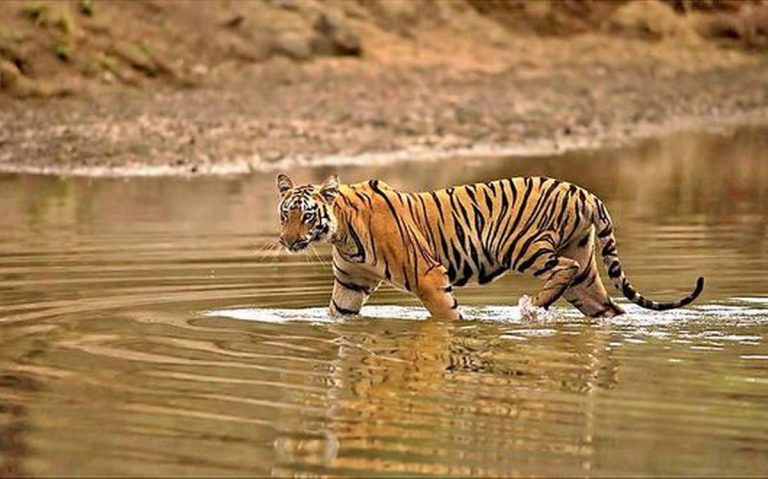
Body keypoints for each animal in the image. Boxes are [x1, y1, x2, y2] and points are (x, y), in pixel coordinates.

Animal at [276, 174, 704, 320]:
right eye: (285, 215)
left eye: (307, 216)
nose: (288, 241)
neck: (341, 232)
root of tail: (585, 193)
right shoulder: (351, 283)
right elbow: (338, 315)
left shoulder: (427, 274)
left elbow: (447, 316)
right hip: (585, 272)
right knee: (607, 307)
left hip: (522, 245)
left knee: (561, 269)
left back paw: (532, 306)